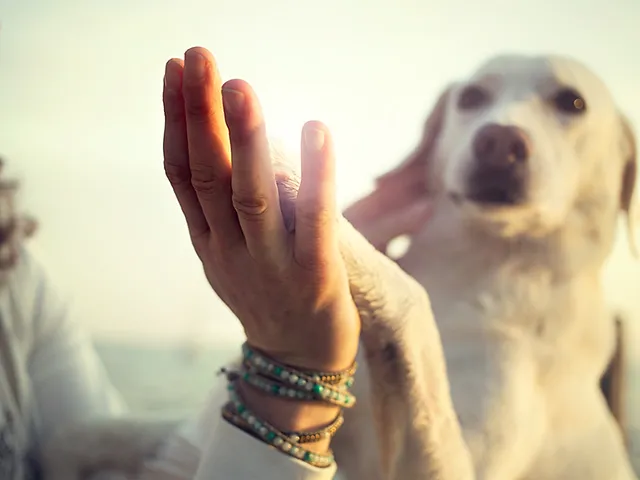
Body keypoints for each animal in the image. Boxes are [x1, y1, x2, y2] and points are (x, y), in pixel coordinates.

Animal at [42, 53, 636, 480]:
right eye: (472, 98)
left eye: (572, 102)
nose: (499, 141)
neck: (475, 267)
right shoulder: (185, 439)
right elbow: (93, 435)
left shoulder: (455, 465)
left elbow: (412, 303)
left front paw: (291, 174)